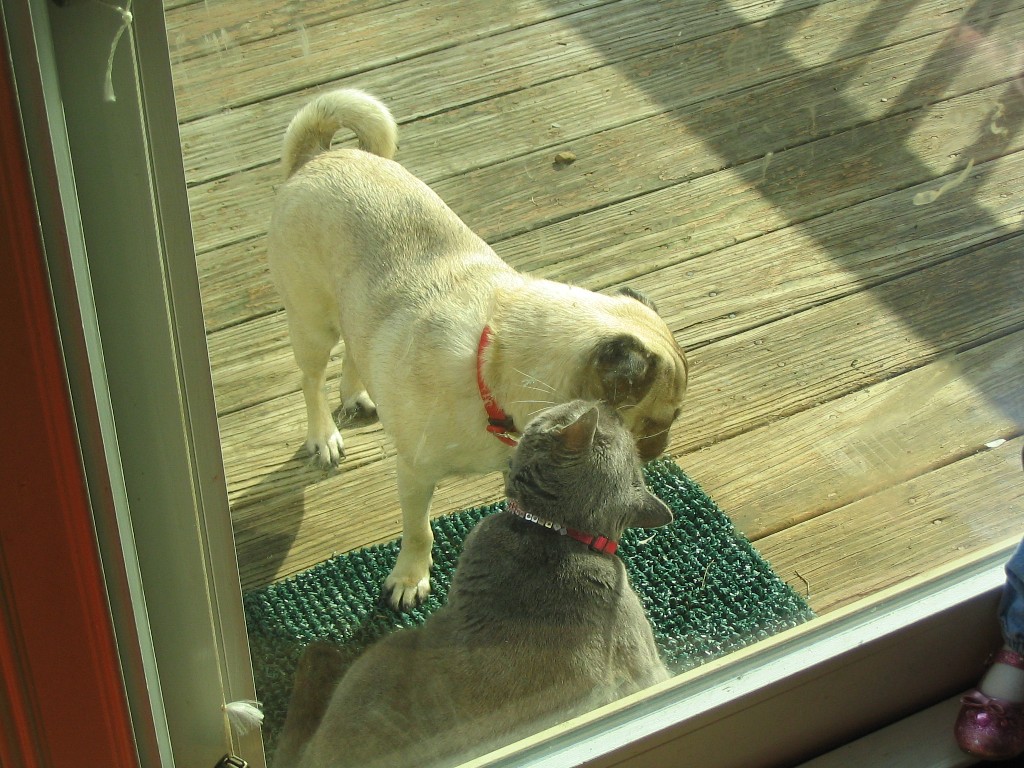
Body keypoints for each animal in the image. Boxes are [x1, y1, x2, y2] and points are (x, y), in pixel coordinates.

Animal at [270, 90, 688, 610]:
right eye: (656, 424)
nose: (660, 448)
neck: (494, 364)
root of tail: (320, 155)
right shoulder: (414, 474)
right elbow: (419, 532)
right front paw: (410, 576)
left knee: (355, 345)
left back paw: (357, 394)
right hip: (311, 322)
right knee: (311, 379)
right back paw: (323, 435)